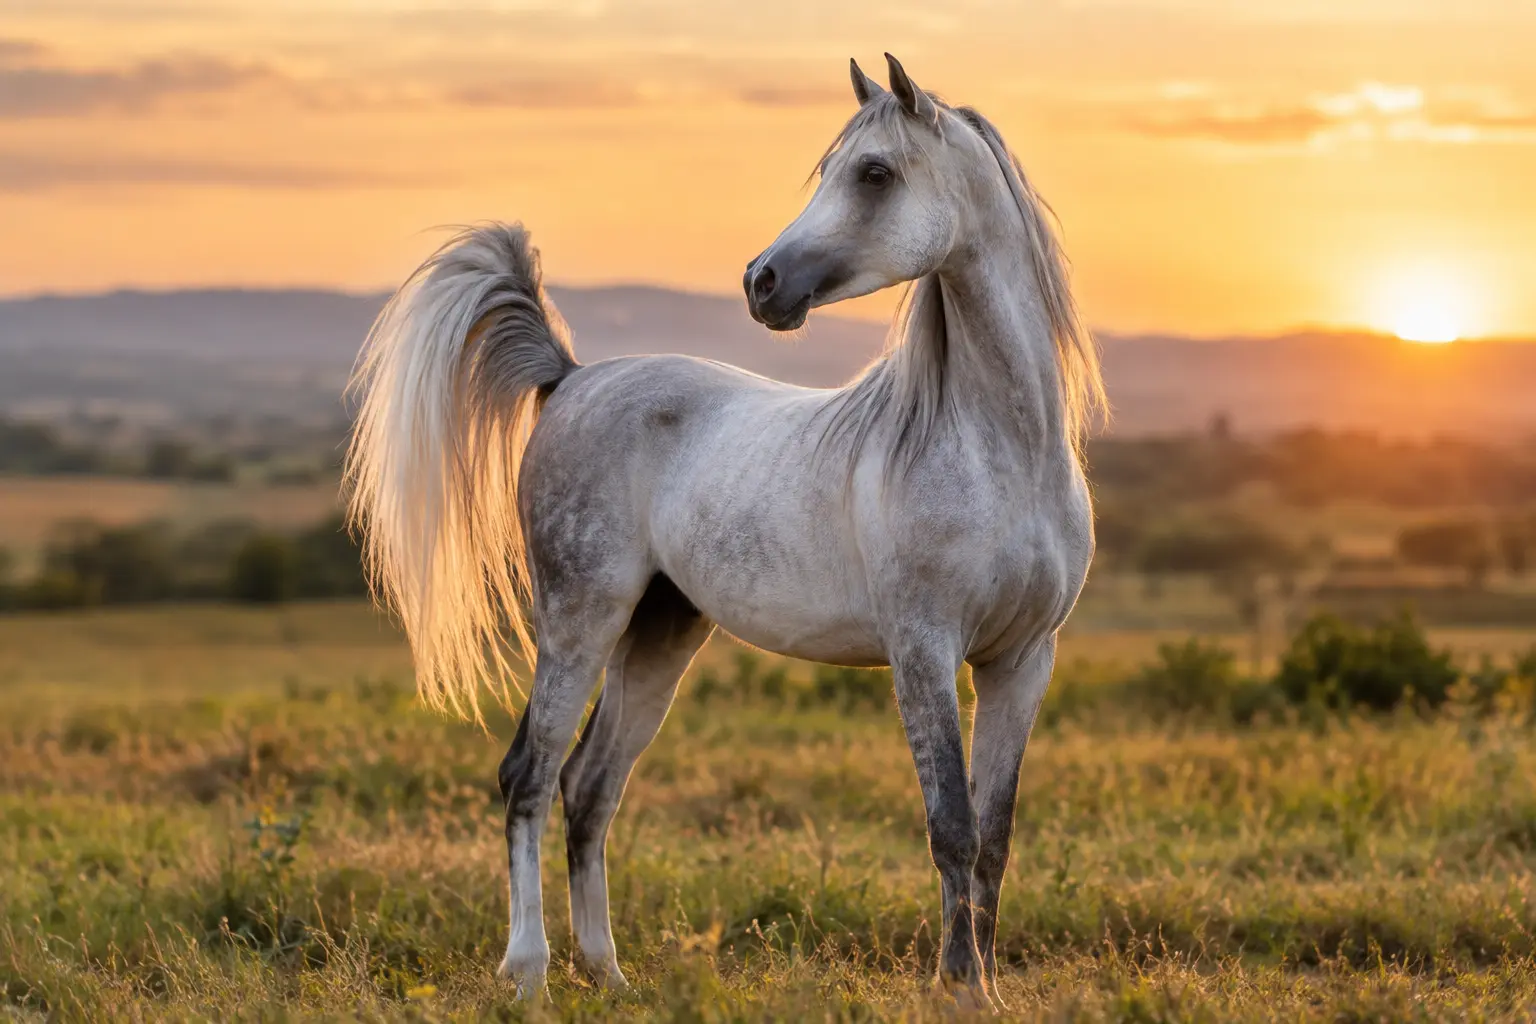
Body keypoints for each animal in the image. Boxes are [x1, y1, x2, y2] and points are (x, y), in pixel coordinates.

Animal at [345, 53, 1105, 1008]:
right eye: (832, 169)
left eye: (874, 173)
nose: (761, 283)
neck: (1000, 447)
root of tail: (571, 378)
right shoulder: (924, 649)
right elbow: (952, 827)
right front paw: (959, 989)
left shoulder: (1022, 659)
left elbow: (995, 837)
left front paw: (986, 988)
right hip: (581, 618)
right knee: (530, 774)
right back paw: (529, 974)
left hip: (662, 631)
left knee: (591, 787)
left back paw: (610, 974)